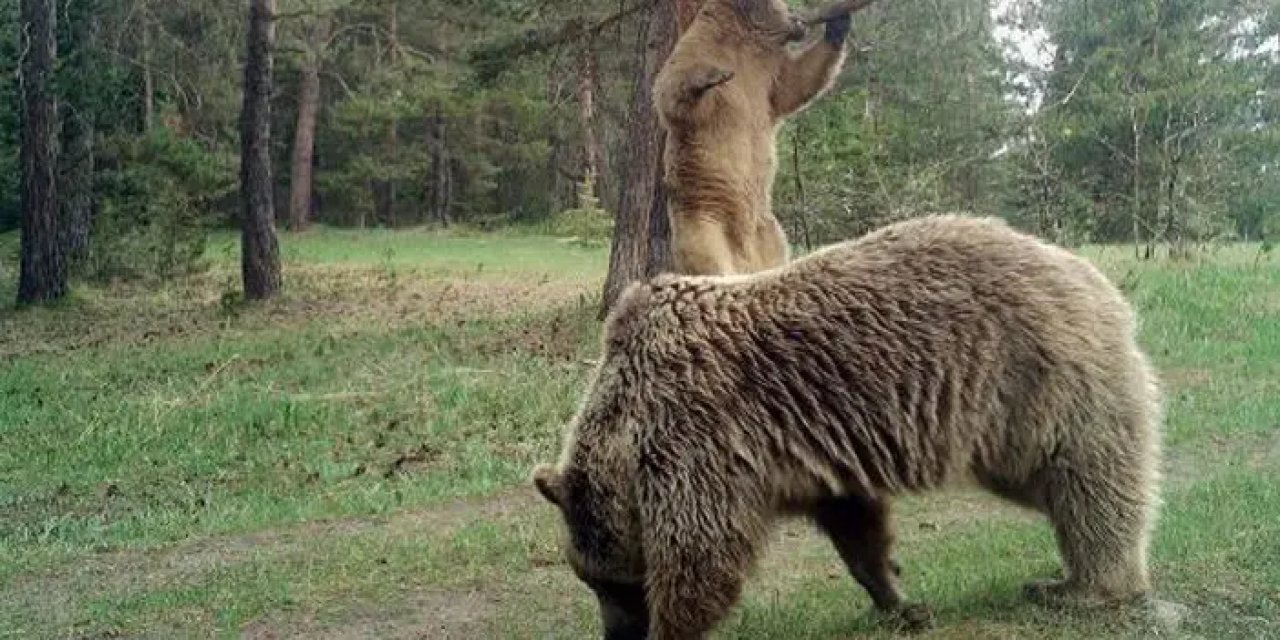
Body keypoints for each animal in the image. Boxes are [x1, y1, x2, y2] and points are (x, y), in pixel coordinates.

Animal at [529, 216, 1162, 640]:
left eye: (612, 583)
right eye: (589, 579)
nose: (616, 635)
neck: (627, 422)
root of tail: (1089, 274)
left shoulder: (699, 438)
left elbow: (703, 553)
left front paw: (673, 626)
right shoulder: (812, 461)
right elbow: (857, 529)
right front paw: (901, 601)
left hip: (1035, 379)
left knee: (1089, 482)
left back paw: (1085, 587)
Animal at [655, 0, 855, 275]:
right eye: (783, 7)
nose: (799, 22)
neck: (746, 39)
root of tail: (746, 261)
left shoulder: (766, 73)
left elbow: (793, 85)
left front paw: (838, 24)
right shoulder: (704, 47)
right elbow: (672, 88)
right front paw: (709, 77)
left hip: (770, 234)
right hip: (704, 219)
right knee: (707, 256)